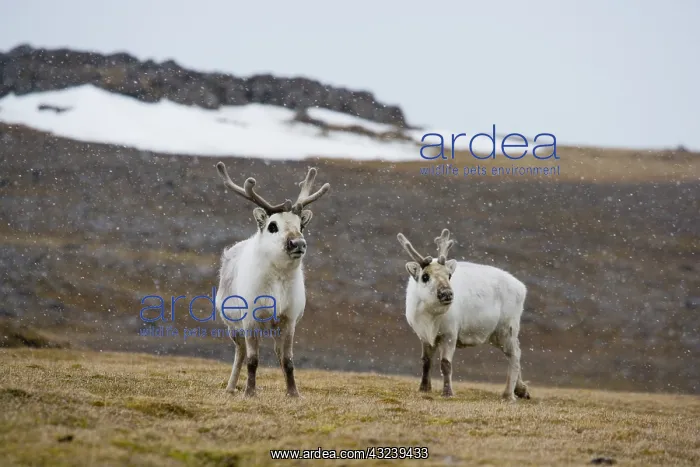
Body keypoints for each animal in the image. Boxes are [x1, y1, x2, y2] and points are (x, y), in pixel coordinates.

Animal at [214, 161, 330, 397]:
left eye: (301, 225)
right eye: (272, 226)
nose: (298, 243)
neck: (278, 280)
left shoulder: (288, 319)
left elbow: (288, 360)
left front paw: (293, 393)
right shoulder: (250, 319)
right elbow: (252, 360)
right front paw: (249, 392)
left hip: (274, 327)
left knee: (277, 352)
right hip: (233, 325)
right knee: (240, 351)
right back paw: (231, 387)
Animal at [396, 228, 531, 401]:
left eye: (449, 275)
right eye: (425, 276)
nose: (447, 293)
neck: (430, 317)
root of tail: (522, 288)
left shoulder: (450, 334)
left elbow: (446, 364)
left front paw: (447, 392)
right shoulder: (423, 335)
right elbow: (426, 361)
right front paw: (424, 388)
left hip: (506, 329)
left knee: (515, 354)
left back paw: (508, 395)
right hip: (495, 335)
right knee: (517, 349)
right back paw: (521, 390)